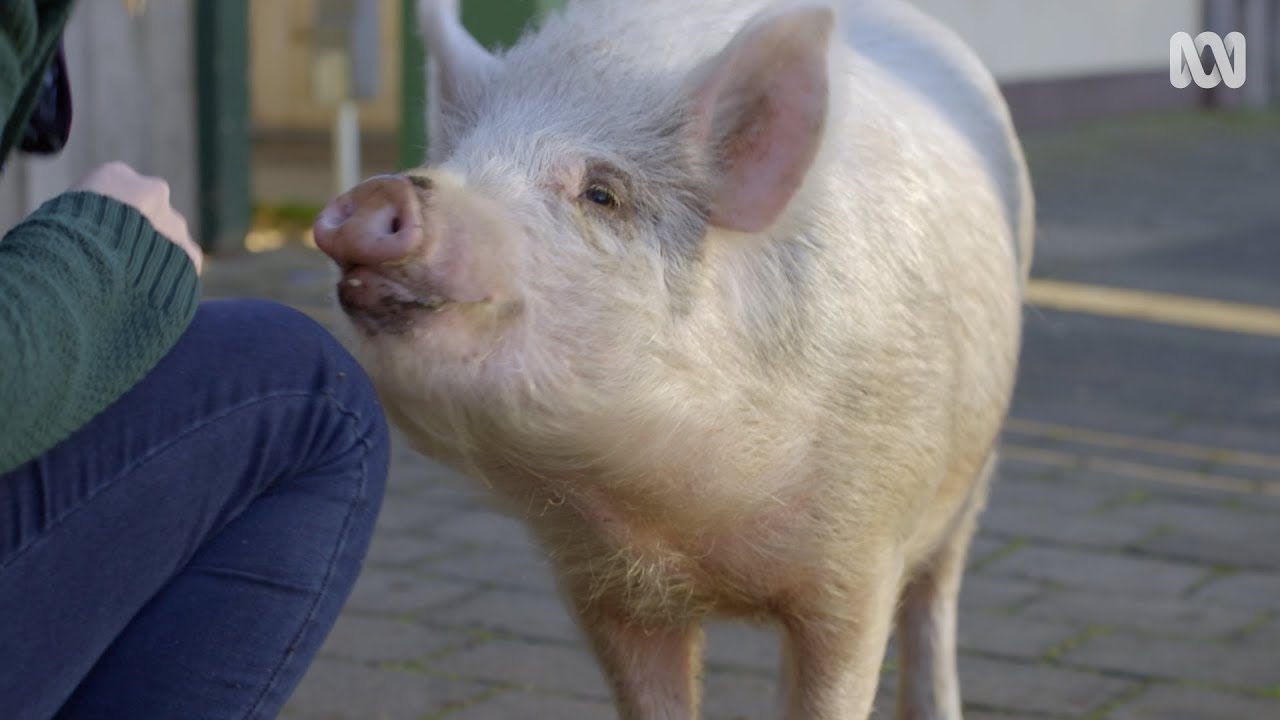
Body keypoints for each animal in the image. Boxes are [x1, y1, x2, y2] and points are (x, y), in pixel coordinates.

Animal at [312, 0, 1035, 717]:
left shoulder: (859, 558)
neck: (679, 529)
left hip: (975, 469)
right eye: (459, 158)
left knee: (937, 594)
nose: (378, 192)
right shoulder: (601, 584)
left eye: (602, 194)